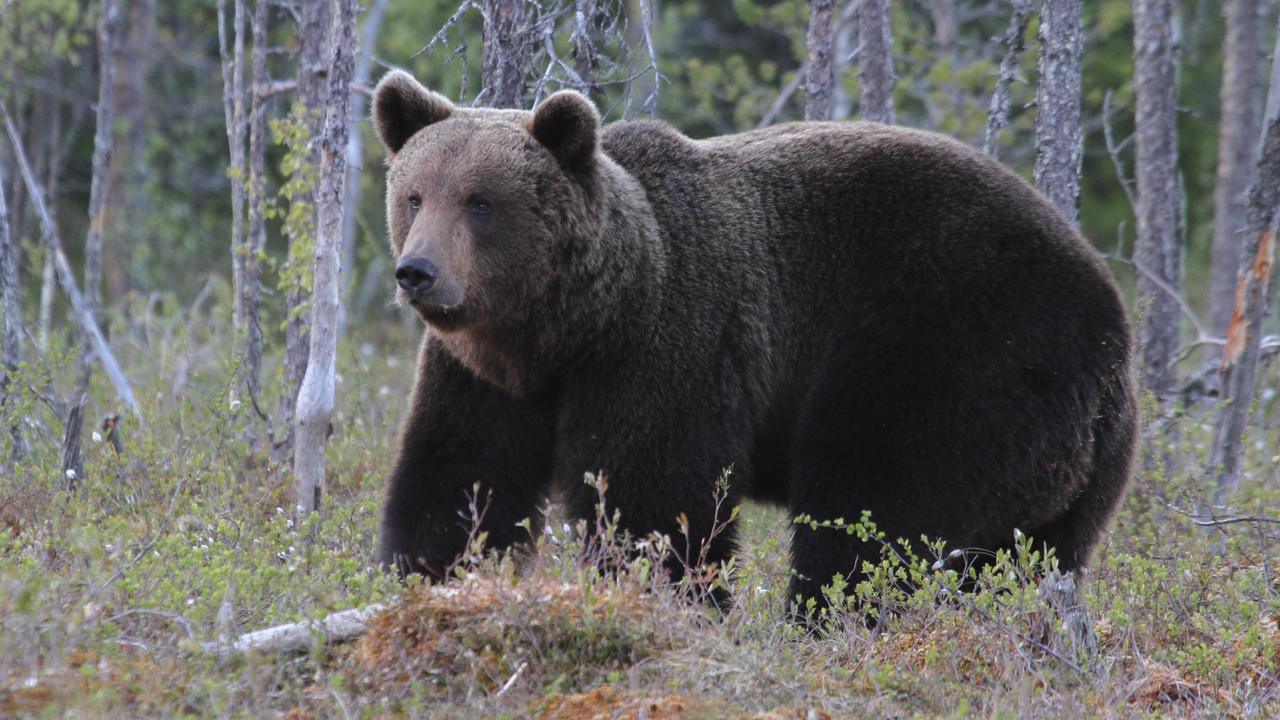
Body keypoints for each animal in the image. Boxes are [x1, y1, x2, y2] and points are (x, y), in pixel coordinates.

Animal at [371, 69, 1138, 608]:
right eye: (414, 194)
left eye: (481, 202)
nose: (418, 272)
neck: (571, 331)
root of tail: (1112, 318)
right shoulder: (483, 378)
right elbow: (459, 481)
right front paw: (425, 579)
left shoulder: (672, 342)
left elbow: (657, 500)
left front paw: (663, 598)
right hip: (1076, 468)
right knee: (1031, 555)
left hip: (953, 347)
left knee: (875, 508)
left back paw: (827, 622)